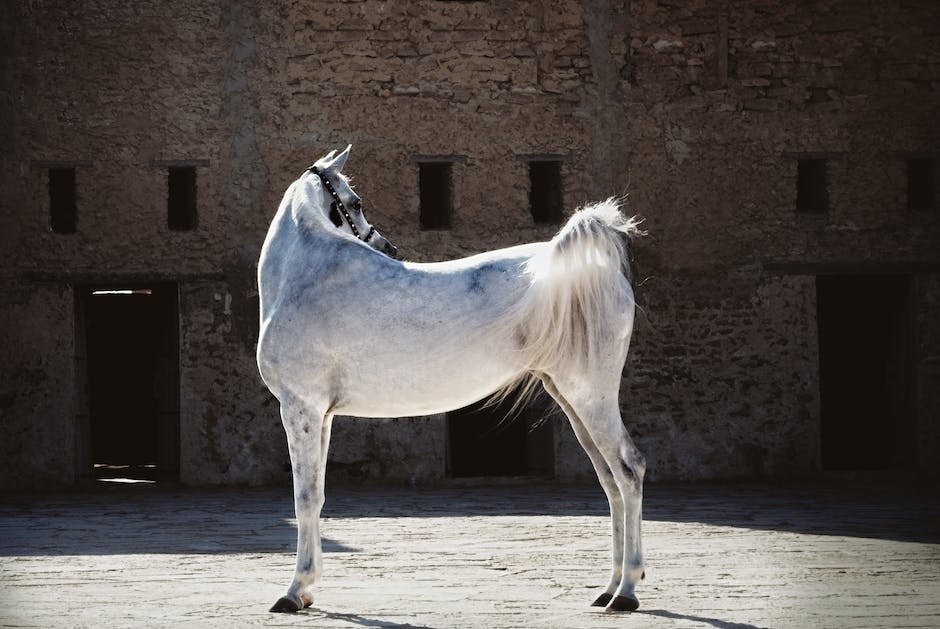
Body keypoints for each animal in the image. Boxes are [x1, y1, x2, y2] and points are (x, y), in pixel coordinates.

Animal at [258, 145, 648, 612]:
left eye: (356, 201)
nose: (388, 246)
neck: (304, 278)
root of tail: (598, 275)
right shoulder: (321, 415)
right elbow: (316, 496)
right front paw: (307, 589)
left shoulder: (300, 408)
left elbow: (304, 498)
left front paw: (294, 590)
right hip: (571, 401)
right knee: (609, 481)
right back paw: (608, 588)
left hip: (592, 397)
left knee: (628, 471)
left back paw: (627, 591)